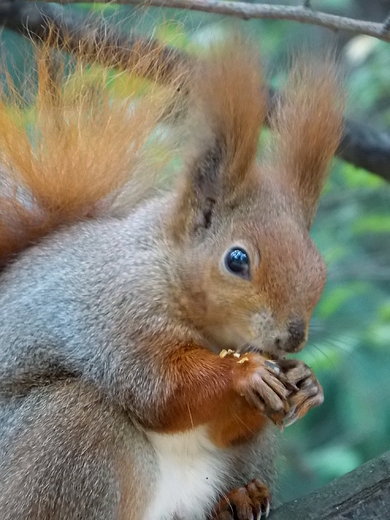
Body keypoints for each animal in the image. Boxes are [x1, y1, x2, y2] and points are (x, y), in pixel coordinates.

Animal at [0, 19, 342, 520]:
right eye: (237, 259)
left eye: (320, 268)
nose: (292, 338)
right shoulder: (119, 313)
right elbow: (160, 390)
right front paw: (245, 374)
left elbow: (222, 424)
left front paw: (306, 382)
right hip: (67, 437)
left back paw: (239, 499)